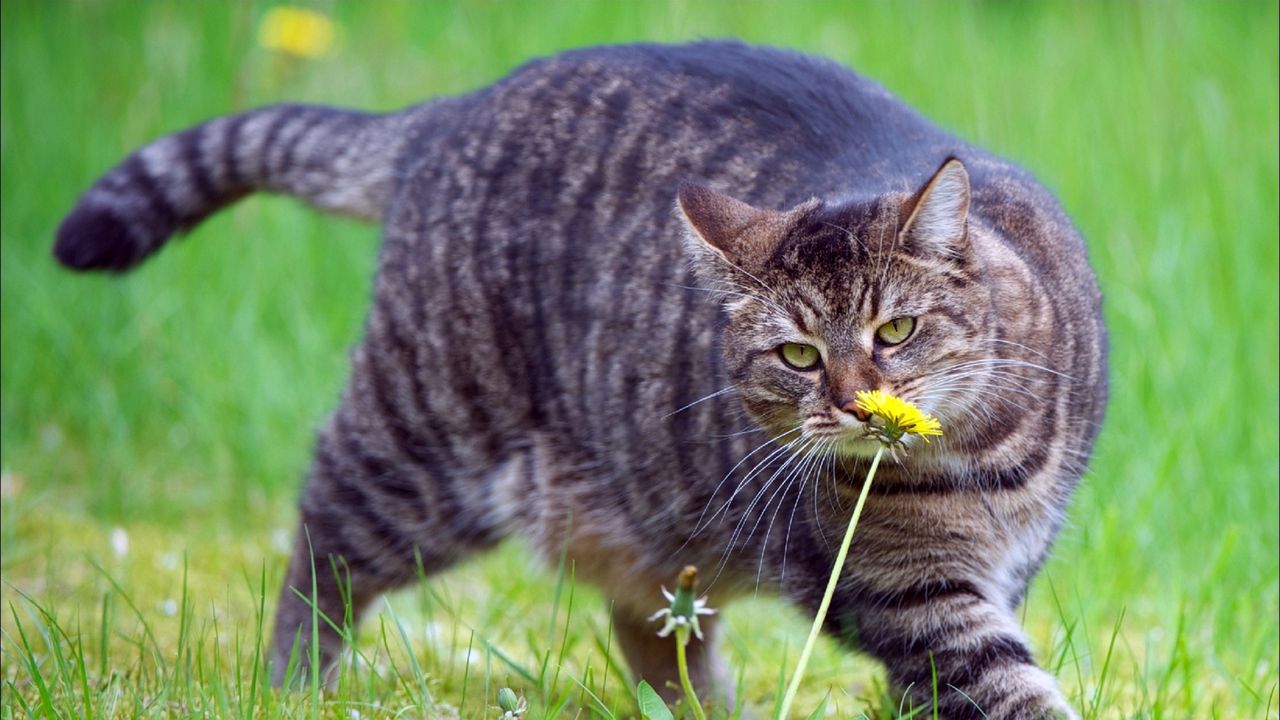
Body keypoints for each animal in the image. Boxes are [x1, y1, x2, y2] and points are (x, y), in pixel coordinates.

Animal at [55, 40, 1105, 717]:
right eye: (798, 355)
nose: (852, 402)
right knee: (324, 539)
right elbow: (1001, 685)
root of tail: (459, 107)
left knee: (656, 630)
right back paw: (291, 688)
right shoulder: (906, 590)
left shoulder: (1001, 573)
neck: (979, 461)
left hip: (643, 512)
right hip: (424, 443)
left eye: (897, 331)